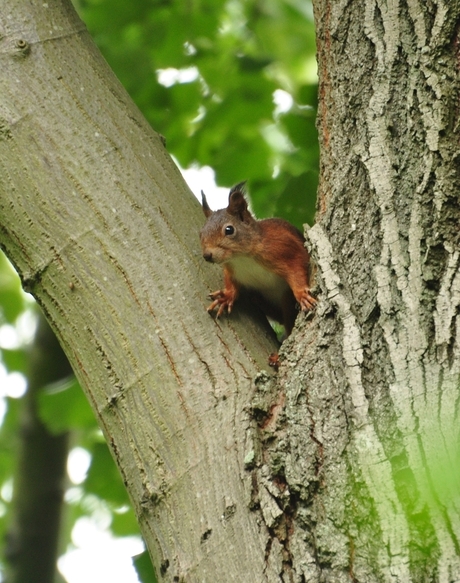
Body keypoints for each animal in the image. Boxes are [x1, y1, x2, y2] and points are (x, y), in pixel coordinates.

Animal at [199, 181, 314, 338]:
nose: (207, 255)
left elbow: (298, 267)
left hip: (286, 300)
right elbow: (231, 282)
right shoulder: (231, 269)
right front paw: (227, 296)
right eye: (200, 233)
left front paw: (302, 293)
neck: (242, 259)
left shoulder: (286, 249)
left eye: (229, 230)